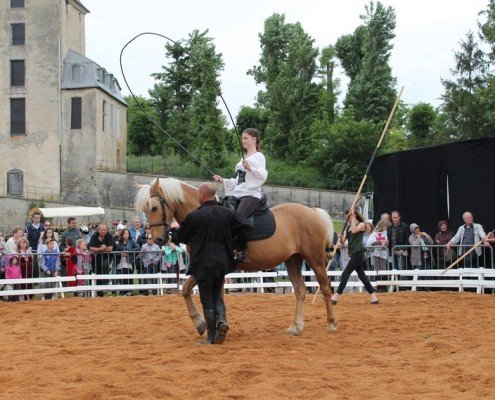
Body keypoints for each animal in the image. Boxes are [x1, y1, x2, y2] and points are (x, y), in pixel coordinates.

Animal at [135, 177, 337, 336]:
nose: (159, 239)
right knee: (300, 290)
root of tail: (313, 211)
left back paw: (331, 324)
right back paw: (296, 327)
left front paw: (203, 323)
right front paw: (212, 324)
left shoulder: (206, 267)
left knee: (326, 288)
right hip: (293, 260)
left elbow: (188, 290)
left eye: (154, 207)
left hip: (315, 260)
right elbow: (190, 291)